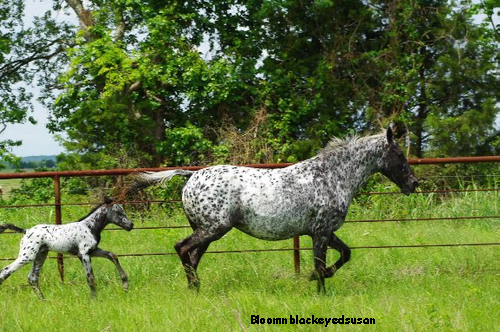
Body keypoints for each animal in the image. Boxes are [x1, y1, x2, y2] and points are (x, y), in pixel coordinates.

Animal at [0, 197, 134, 298]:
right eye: (118, 212)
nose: (131, 225)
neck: (89, 227)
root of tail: (26, 231)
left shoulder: (93, 250)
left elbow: (112, 255)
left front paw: (125, 285)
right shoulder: (83, 254)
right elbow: (90, 277)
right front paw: (94, 299)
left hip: (40, 255)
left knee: (32, 277)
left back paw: (43, 300)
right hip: (27, 255)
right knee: (6, 270)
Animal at [129, 126, 418, 292]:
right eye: (399, 155)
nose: (414, 184)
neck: (331, 176)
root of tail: (191, 176)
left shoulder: (325, 232)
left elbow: (345, 254)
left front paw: (315, 278)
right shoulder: (320, 233)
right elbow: (321, 264)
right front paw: (319, 288)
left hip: (207, 231)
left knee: (192, 256)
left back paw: (194, 290)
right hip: (214, 228)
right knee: (182, 248)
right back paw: (195, 286)